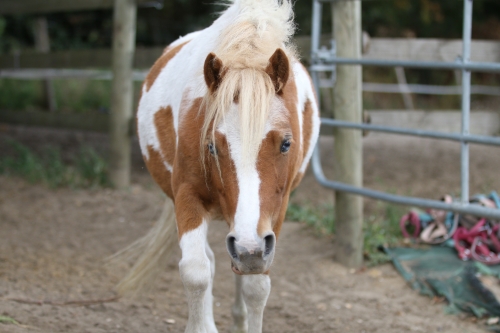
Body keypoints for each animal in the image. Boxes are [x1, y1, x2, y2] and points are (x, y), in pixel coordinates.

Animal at [115, 1, 320, 330]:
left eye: (286, 144)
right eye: (211, 145)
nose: (250, 248)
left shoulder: (273, 215)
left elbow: (255, 286)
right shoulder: (187, 197)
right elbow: (196, 272)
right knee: (212, 261)